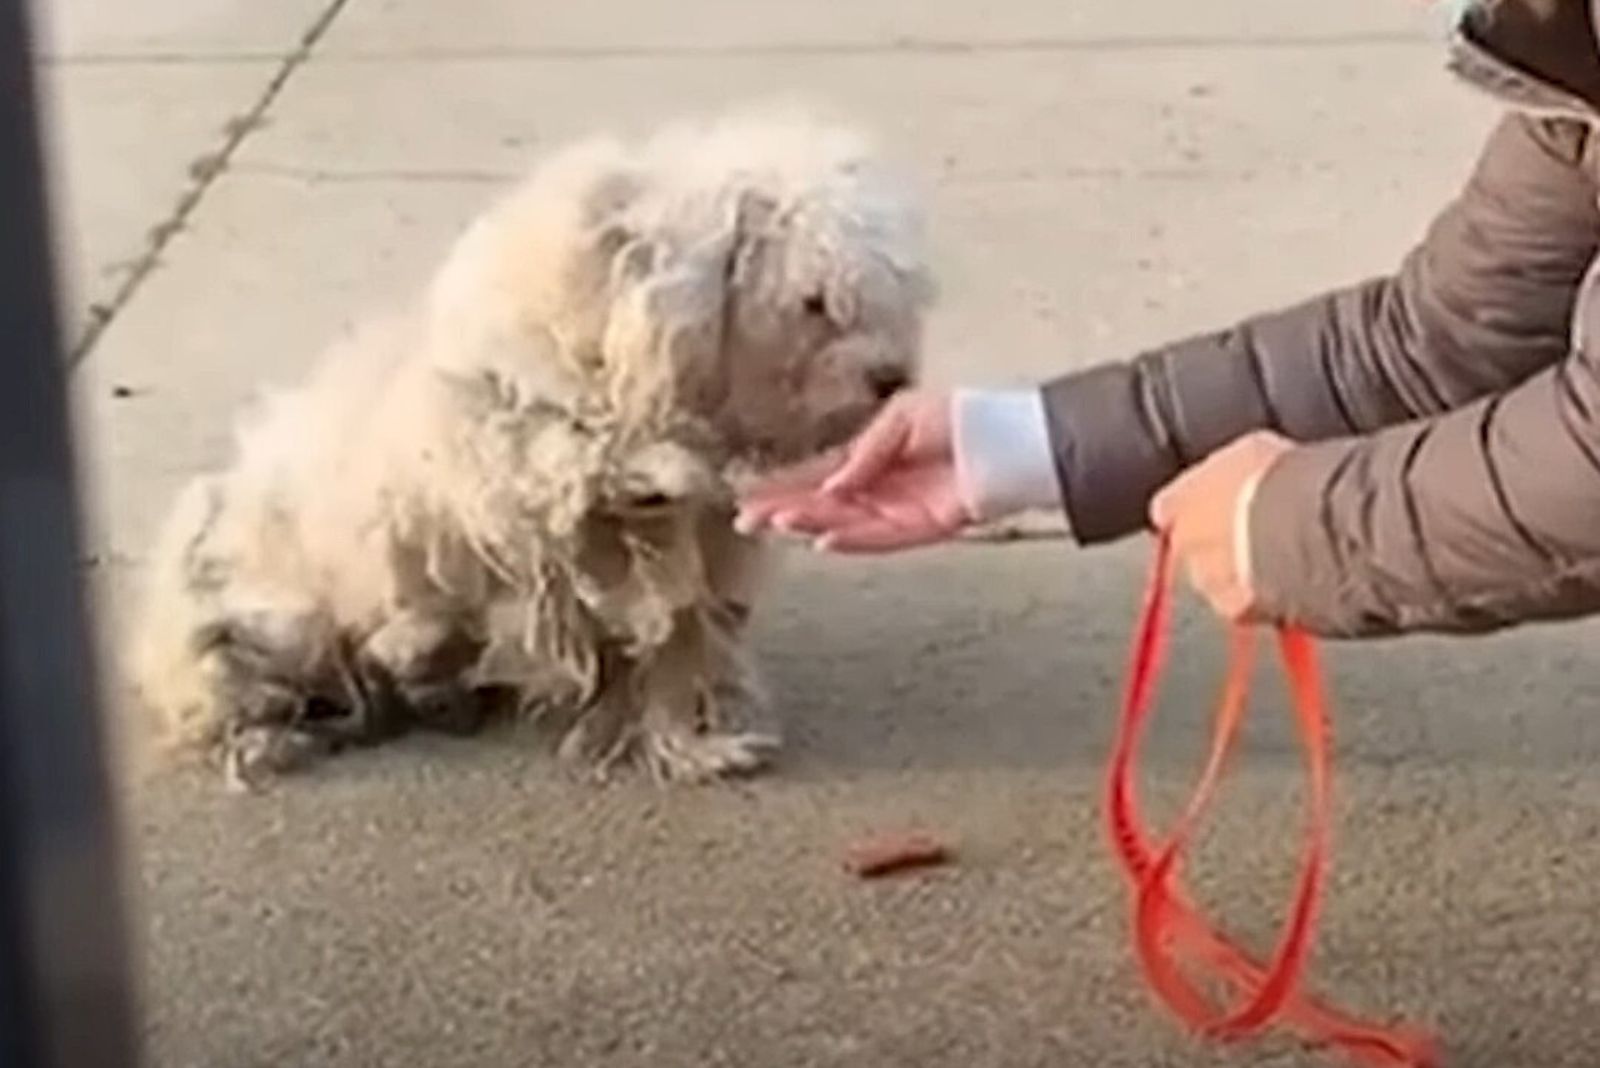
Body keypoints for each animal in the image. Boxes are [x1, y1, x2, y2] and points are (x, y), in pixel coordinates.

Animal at [134, 106, 934, 793]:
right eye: (815, 304)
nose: (894, 379)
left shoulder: (667, 556)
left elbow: (676, 641)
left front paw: (695, 739)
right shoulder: (533, 487)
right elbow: (595, 486)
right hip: (265, 630)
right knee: (243, 697)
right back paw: (278, 732)